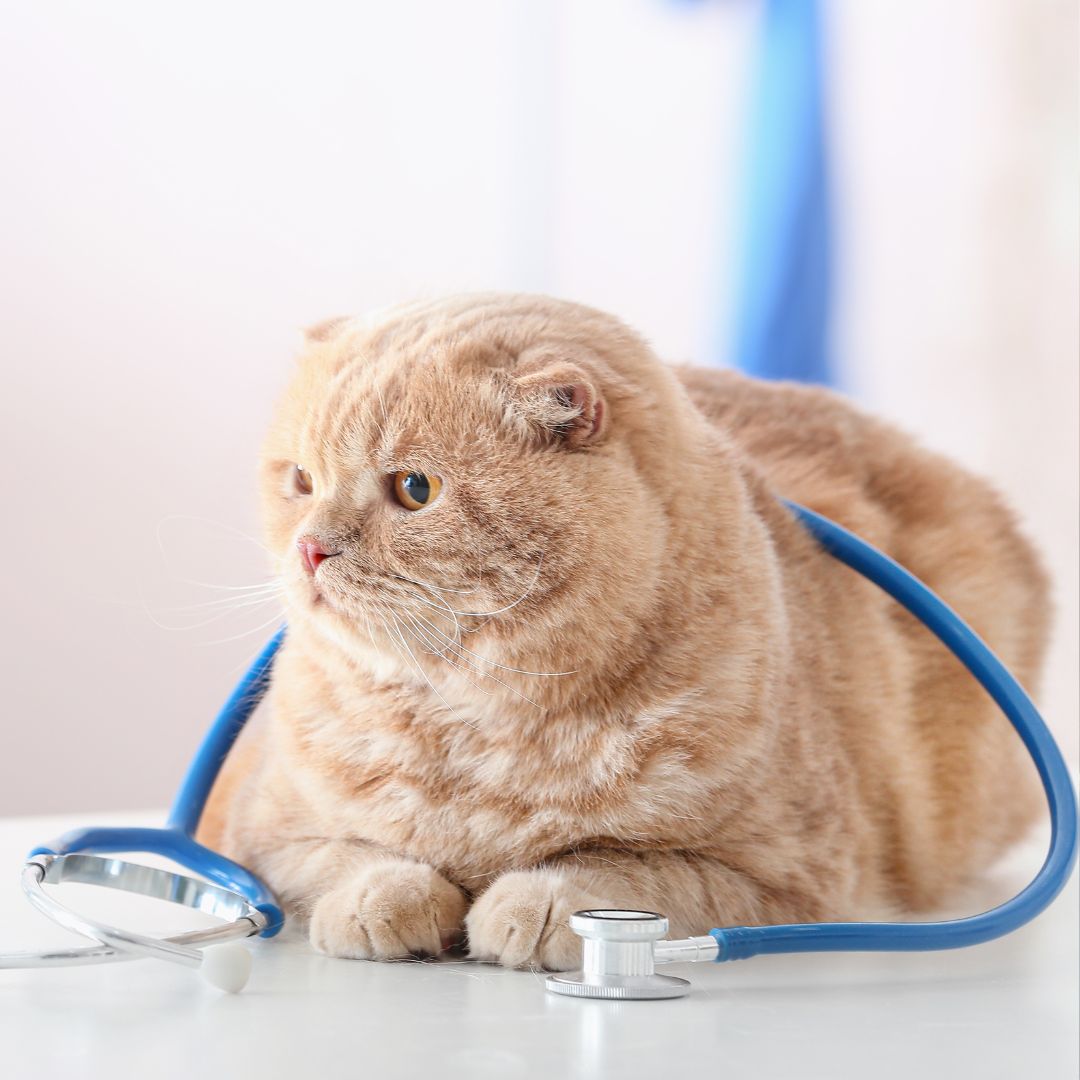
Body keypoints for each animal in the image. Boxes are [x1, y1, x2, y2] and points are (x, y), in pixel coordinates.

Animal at [198, 289, 1049, 972]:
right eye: (300, 480)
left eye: (415, 489)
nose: (311, 549)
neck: (477, 731)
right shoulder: (255, 835)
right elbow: (344, 860)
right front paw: (385, 897)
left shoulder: (787, 877)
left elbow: (628, 870)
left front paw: (535, 904)